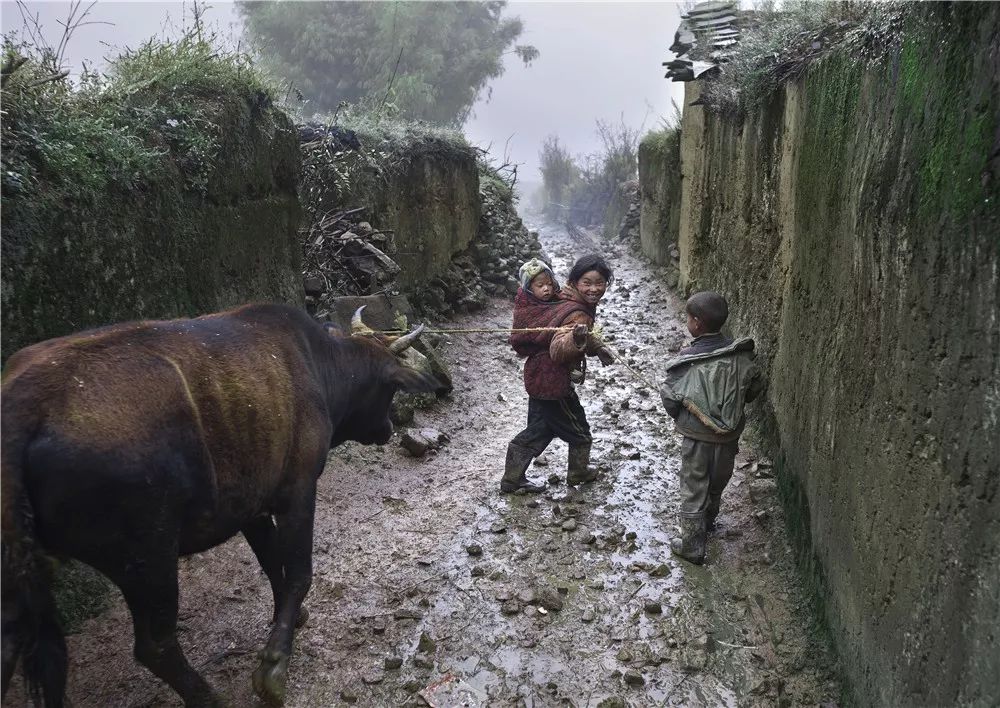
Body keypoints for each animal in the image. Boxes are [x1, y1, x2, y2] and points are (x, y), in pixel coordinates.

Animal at [0, 302, 438, 704]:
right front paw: (274, 663)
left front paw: (290, 619)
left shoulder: (251, 504)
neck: (319, 364)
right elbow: (298, 572)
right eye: (389, 388)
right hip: (147, 556)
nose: (388, 427)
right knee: (155, 646)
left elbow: (272, 563)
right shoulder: (297, 491)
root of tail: (21, 408)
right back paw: (208, 697)